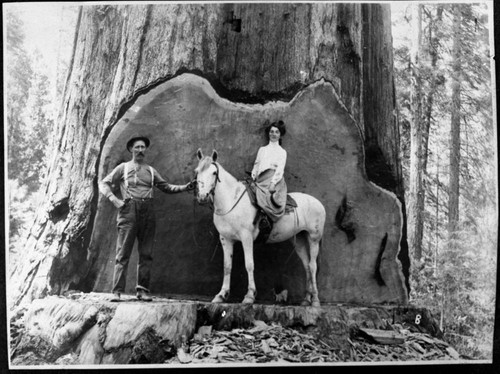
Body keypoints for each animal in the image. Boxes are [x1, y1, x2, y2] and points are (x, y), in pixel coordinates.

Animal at [193, 149, 326, 306]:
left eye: (214, 172)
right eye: (197, 172)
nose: (202, 197)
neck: (231, 201)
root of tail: (317, 202)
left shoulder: (246, 237)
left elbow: (249, 264)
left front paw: (249, 296)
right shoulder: (225, 239)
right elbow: (227, 266)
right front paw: (221, 295)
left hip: (313, 238)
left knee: (312, 266)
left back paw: (315, 300)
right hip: (298, 239)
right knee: (307, 266)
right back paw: (306, 299)